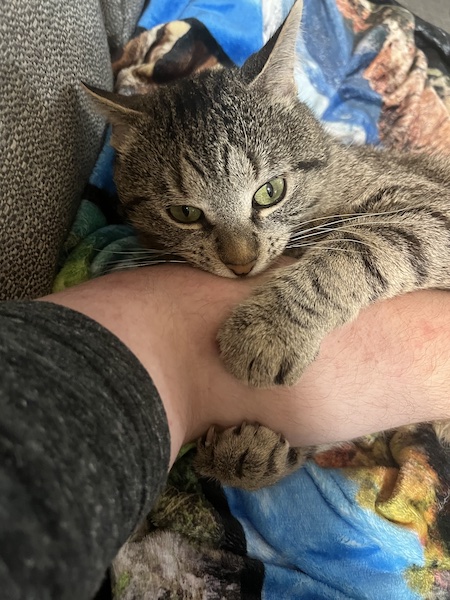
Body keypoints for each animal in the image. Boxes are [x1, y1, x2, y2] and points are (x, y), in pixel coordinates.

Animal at [85, 0, 450, 488]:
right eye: (184, 213)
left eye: (270, 192)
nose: (241, 263)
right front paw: (250, 452)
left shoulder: (431, 208)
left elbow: (360, 247)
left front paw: (270, 329)